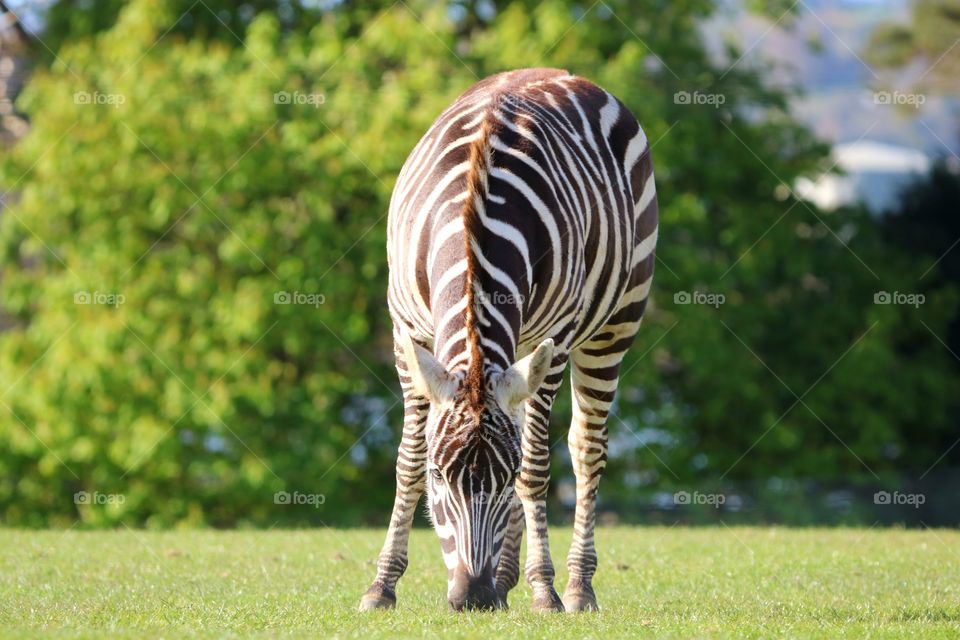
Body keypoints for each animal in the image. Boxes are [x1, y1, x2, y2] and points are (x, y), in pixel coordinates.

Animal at [359, 68, 658, 612]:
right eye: (439, 476)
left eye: (502, 476)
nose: (472, 597)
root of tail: (558, 73)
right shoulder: (405, 330)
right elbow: (406, 460)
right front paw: (381, 586)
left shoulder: (554, 336)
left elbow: (534, 468)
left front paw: (545, 590)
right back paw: (504, 579)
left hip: (614, 324)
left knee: (586, 448)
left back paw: (573, 586)